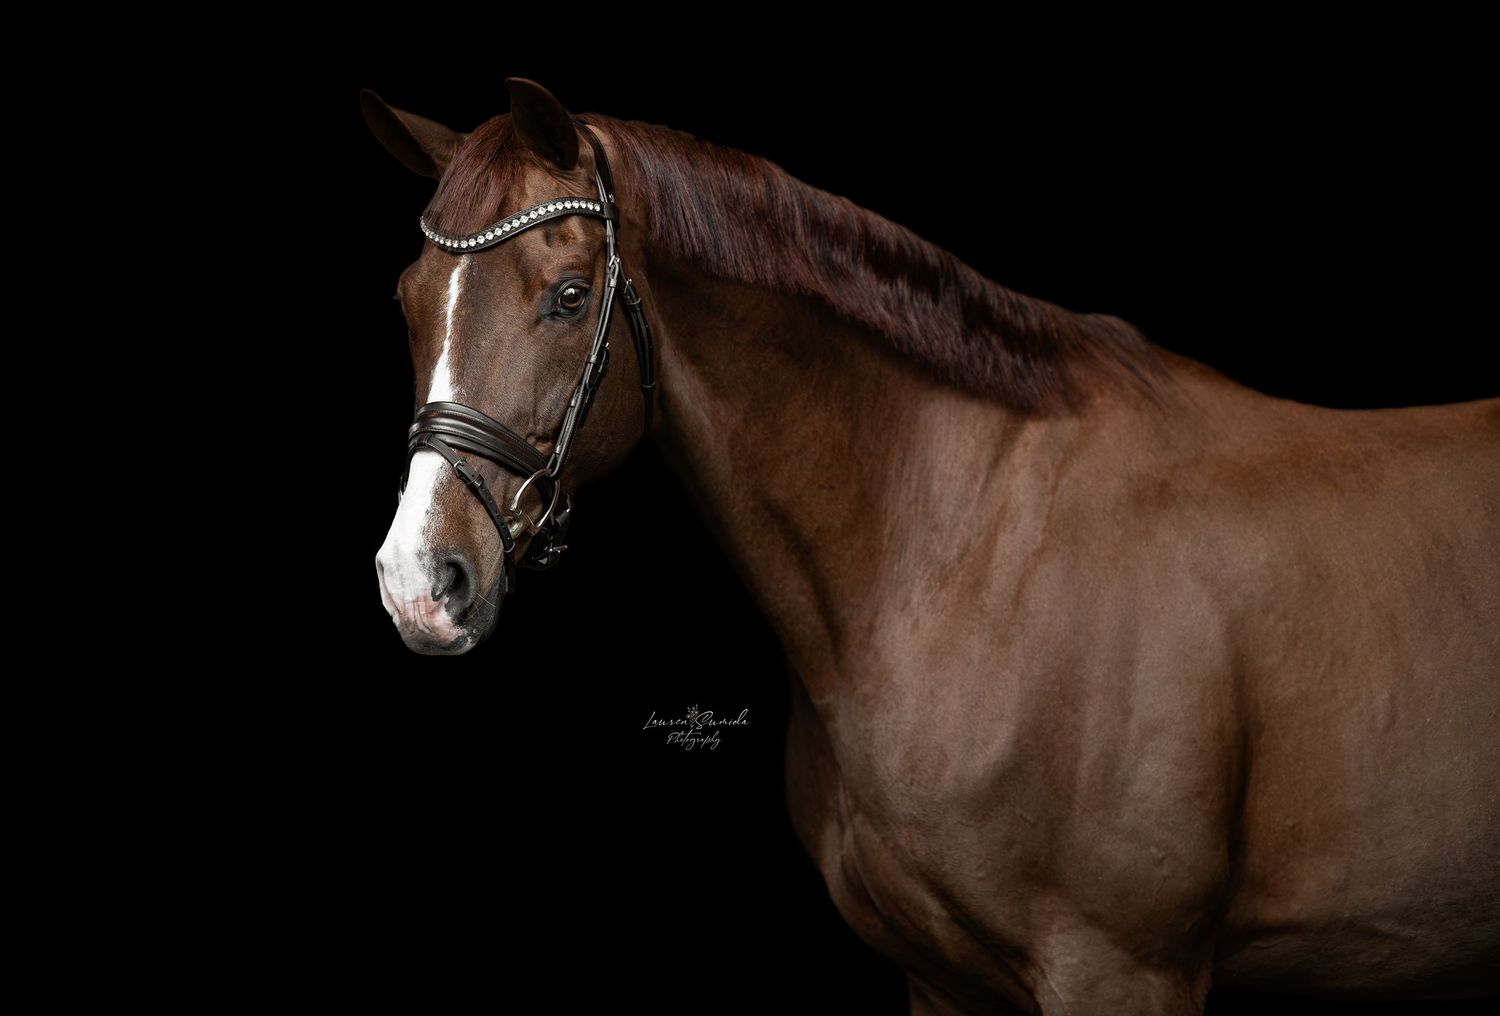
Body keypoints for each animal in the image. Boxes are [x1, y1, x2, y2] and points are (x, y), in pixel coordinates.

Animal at [366, 78, 1500, 1014]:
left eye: (567, 296)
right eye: (410, 300)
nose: (419, 580)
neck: (965, 554)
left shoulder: (1123, 969)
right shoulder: (940, 978)